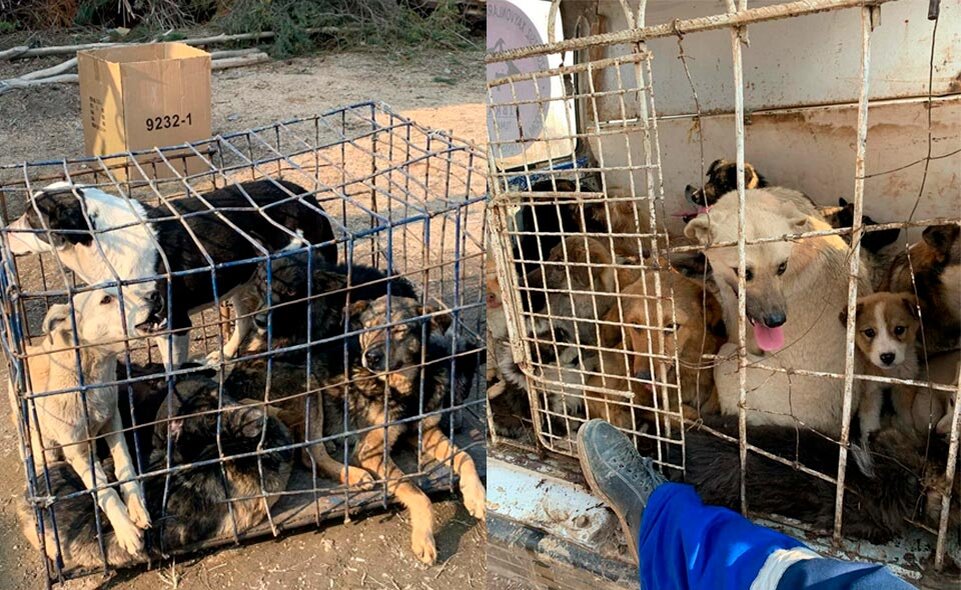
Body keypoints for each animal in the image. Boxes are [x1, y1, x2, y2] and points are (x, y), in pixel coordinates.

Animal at [5, 178, 338, 368]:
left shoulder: (173, 324)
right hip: (245, 284)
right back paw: (226, 353)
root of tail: (306, 194)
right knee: (244, 322)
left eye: (30, 217)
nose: (5, 232)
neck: (107, 241)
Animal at [11, 292, 152, 560]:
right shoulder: (76, 450)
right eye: (106, 299)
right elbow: (104, 490)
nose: (156, 296)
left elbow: (126, 466)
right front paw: (126, 531)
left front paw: (138, 506)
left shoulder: (113, 421)